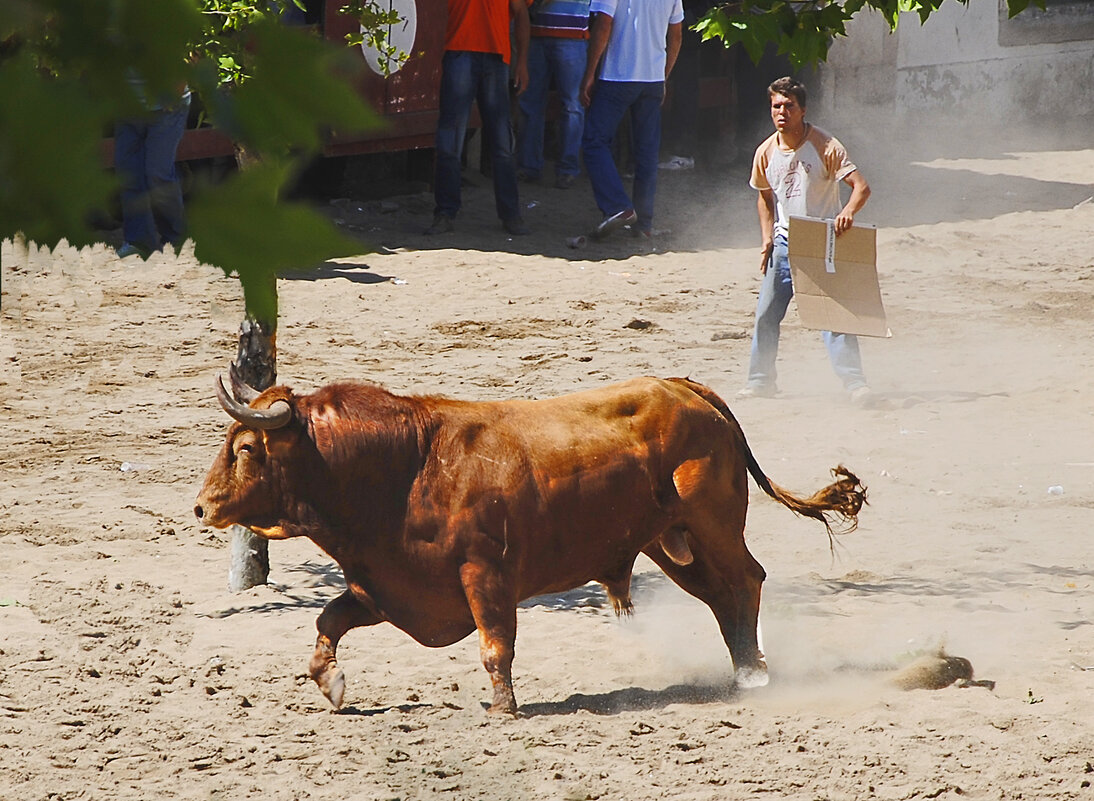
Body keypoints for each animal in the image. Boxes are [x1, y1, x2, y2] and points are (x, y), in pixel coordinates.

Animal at [194, 369, 862, 713]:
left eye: (245, 446)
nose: (202, 505)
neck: (409, 465)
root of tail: (687, 388)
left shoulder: (485, 575)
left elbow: (496, 645)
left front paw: (502, 706)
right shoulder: (389, 585)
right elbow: (329, 618)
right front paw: (329, 683)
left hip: (712, 525)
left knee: (746, 582)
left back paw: (755, 675)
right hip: (673, 543)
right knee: (723, 598)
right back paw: (745, 668)